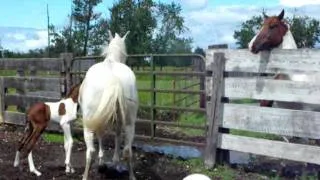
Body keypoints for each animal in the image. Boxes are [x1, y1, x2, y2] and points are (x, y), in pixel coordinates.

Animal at [78, 30, 138, 179]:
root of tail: (113, 79)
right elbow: (116, 135)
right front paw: (114, 162)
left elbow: (101, 136)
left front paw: (102, 161)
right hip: (129, 122)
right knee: (127, 150)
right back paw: (131, 175)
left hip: (88, 125)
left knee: (90, 151)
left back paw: (85, 176)